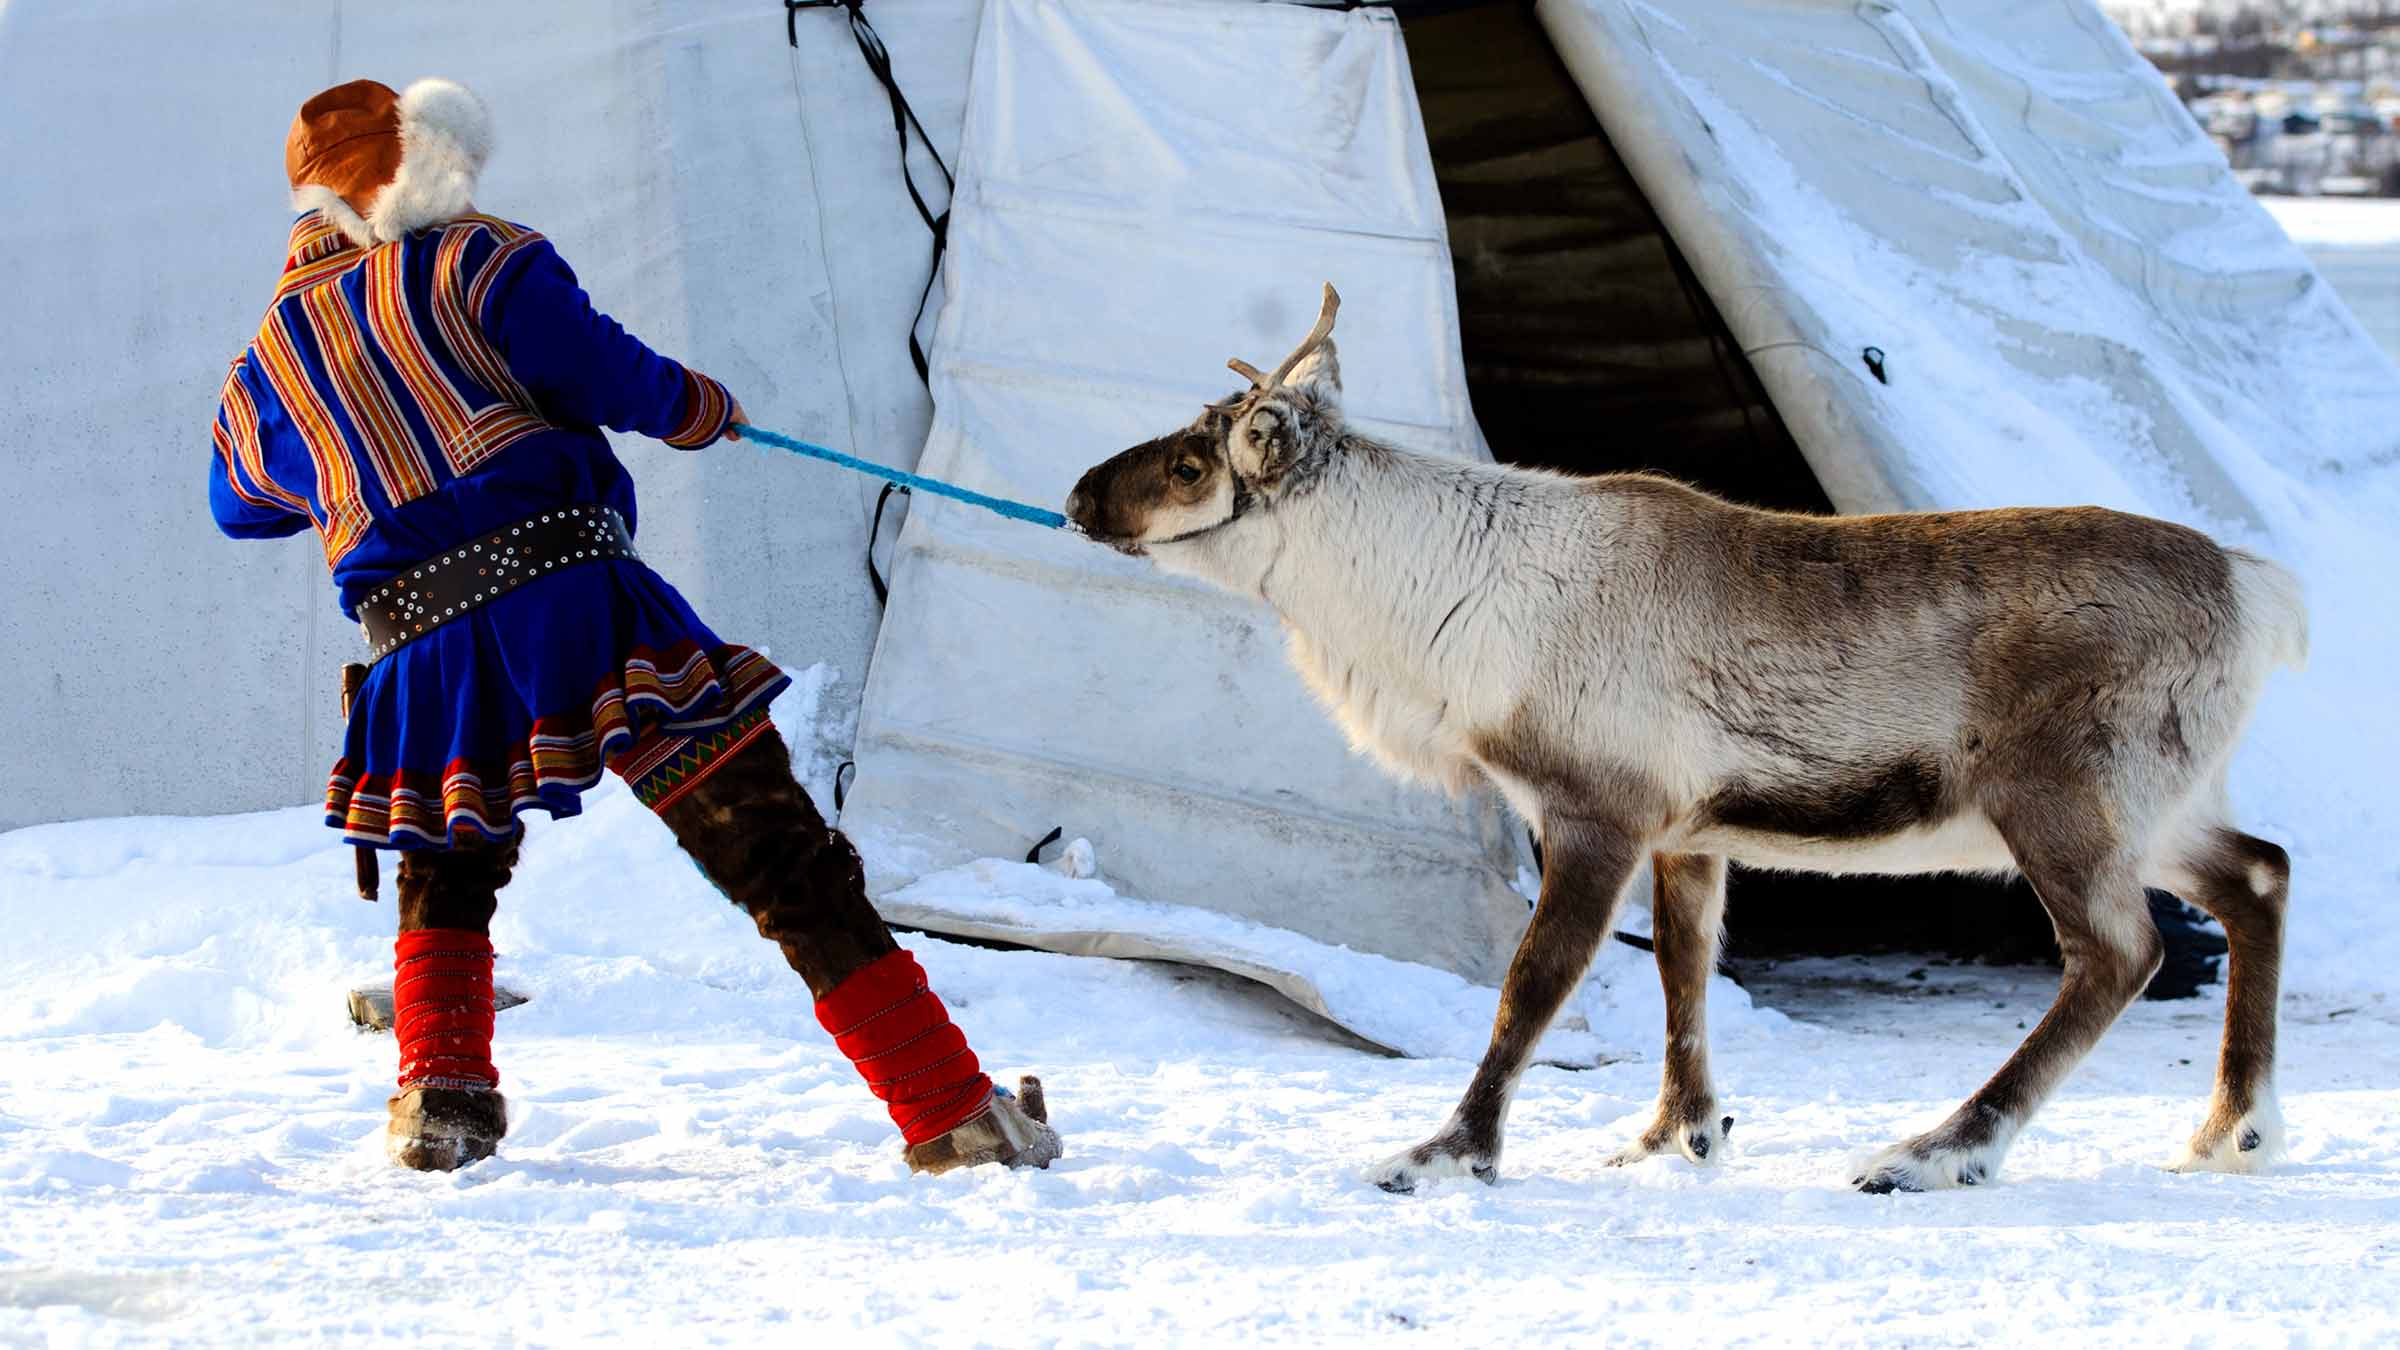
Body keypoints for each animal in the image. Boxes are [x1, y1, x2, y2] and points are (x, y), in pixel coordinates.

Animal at [1063, 285, 2307, 1194]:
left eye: (1191, 463)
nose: (1075, 495)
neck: (1439, 601)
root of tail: (2260, 592)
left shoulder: (1594, 809)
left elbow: (1535, 984)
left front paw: (1446, 1153)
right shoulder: (1689, 832)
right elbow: (1684, 972)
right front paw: (1677, 1135)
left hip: (2057, 798)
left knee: (2120, 951)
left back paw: (1939, 1150)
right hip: (2164, 805)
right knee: (2260, 873)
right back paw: (2230, 1129)